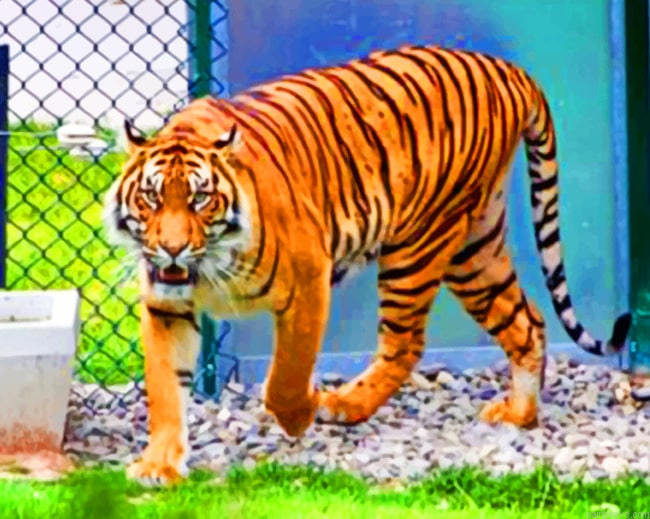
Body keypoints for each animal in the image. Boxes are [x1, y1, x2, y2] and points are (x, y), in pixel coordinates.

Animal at [103, 44, 631, 485]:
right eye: (151, 198)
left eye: (200, 199)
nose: (172, 248)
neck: (207, 263)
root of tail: (508, 70)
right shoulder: (166, 307)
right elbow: (165, 390)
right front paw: (158, 466)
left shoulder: (308, 280)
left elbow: (285, 377)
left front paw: (302, 413)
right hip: (475, 248)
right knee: (526, 321)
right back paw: (519, 415)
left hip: (418, 243)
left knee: (407, 343)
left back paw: (345, 405)